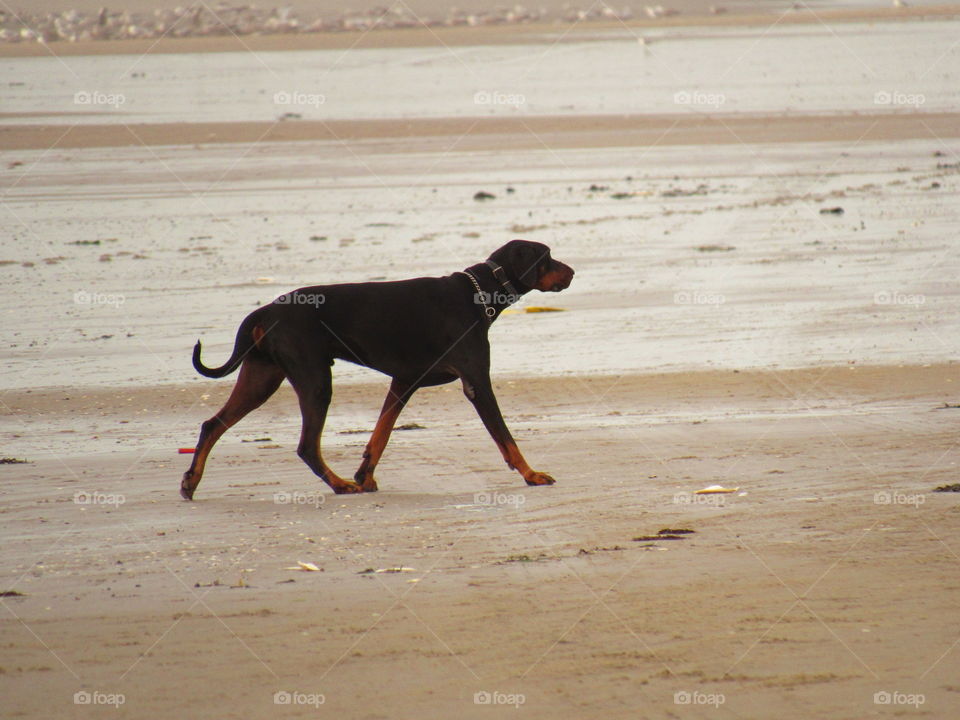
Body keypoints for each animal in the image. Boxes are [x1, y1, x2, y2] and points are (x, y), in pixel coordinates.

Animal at [179, 239, 568, 498]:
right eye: (548, 257)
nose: (574, 272)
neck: (478, 293)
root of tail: (265, 311)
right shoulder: (477, 383)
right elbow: (506, 437)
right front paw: (531, 474)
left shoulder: (403, 382)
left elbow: (380, 435)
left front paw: (365, 475)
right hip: (315, 381)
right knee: (307, 446)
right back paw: (338, 484)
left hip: (261, 377)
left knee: (212, 425)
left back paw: (190, 481)